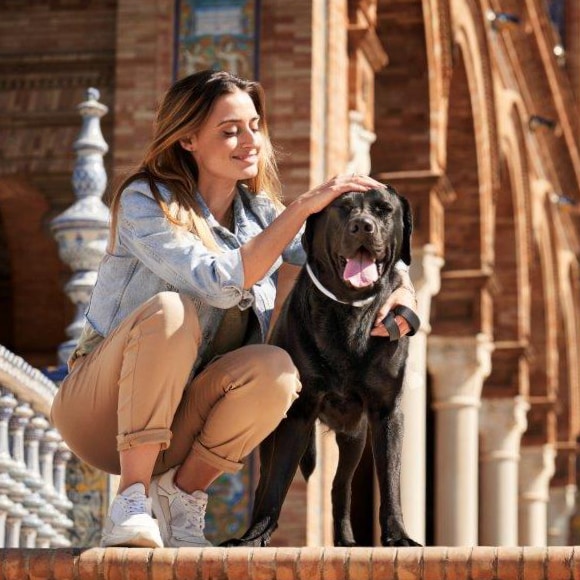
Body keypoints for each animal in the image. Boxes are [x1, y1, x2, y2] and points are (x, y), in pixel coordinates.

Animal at [224, 186, 420, 548]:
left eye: (384, 209)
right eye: (343, 209)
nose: (362, 226)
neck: (350, 311)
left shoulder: (387, 411)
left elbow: (390, 479)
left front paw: (398, 535)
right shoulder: (299, 412)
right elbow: (277, 483)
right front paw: (254, 536)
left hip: (355, 435)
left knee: (340, 485)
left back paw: (346, 540)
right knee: (267, 480)